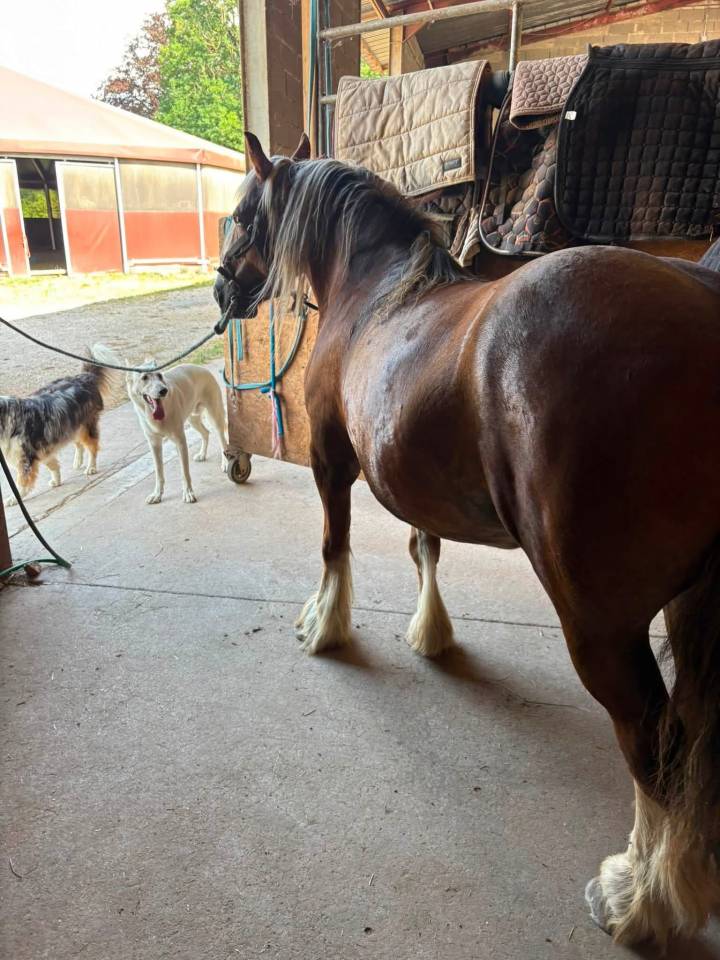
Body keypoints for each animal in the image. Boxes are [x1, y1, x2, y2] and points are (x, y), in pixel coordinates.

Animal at [215, 131, 720, 948]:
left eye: (238, 214)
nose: (221, 292)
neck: (376, 294)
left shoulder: (332, 462)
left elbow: (333, 547)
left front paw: (323, 627)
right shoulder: (413, 477)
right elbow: (426, 549)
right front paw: (432, 634)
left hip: (602, 626)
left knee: (657, 747)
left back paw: (636, 900)